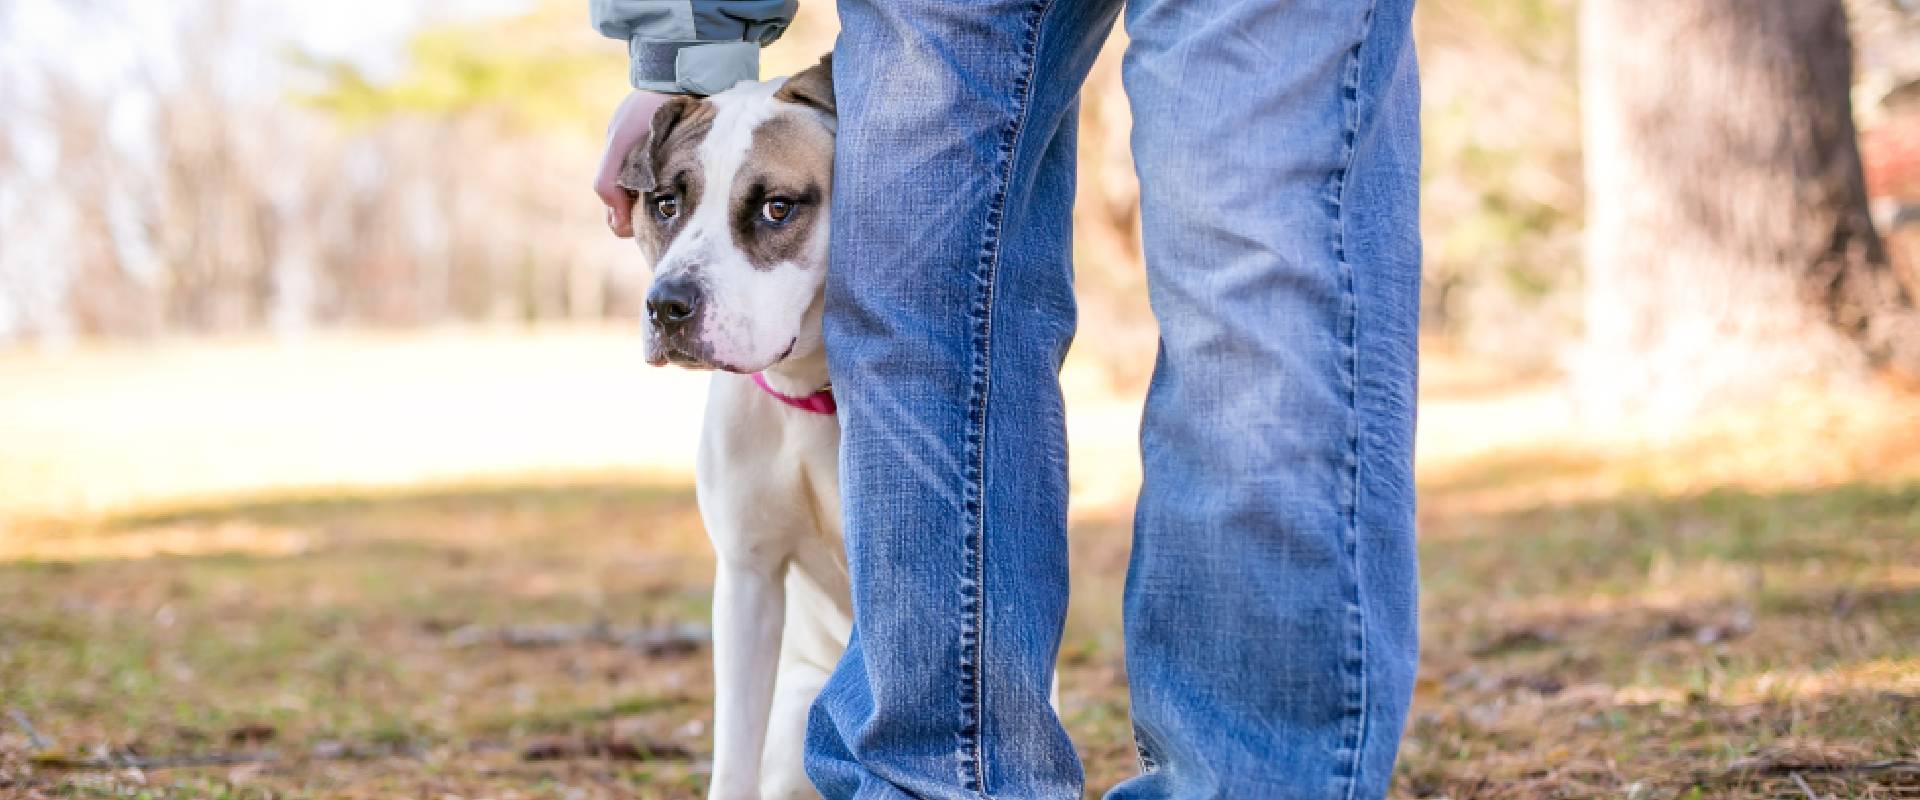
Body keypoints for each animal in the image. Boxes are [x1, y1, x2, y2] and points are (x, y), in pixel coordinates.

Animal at [618, 57, 852, 798]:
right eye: (666, 204)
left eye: (777, 206)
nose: (667, 305)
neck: (812, 392)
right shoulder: (749, 578)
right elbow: (734, 752)